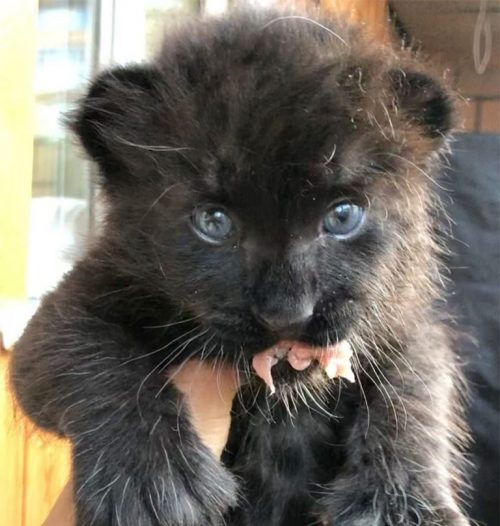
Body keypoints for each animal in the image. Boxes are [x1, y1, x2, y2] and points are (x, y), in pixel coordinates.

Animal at [11, 9, 470, 526]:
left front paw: (402, 504)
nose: (287, 312)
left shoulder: (408, 322)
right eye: (214, 222)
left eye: (342, 215)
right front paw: (152, 483)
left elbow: (414, 392)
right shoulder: (69, 305)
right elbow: (92, 355)